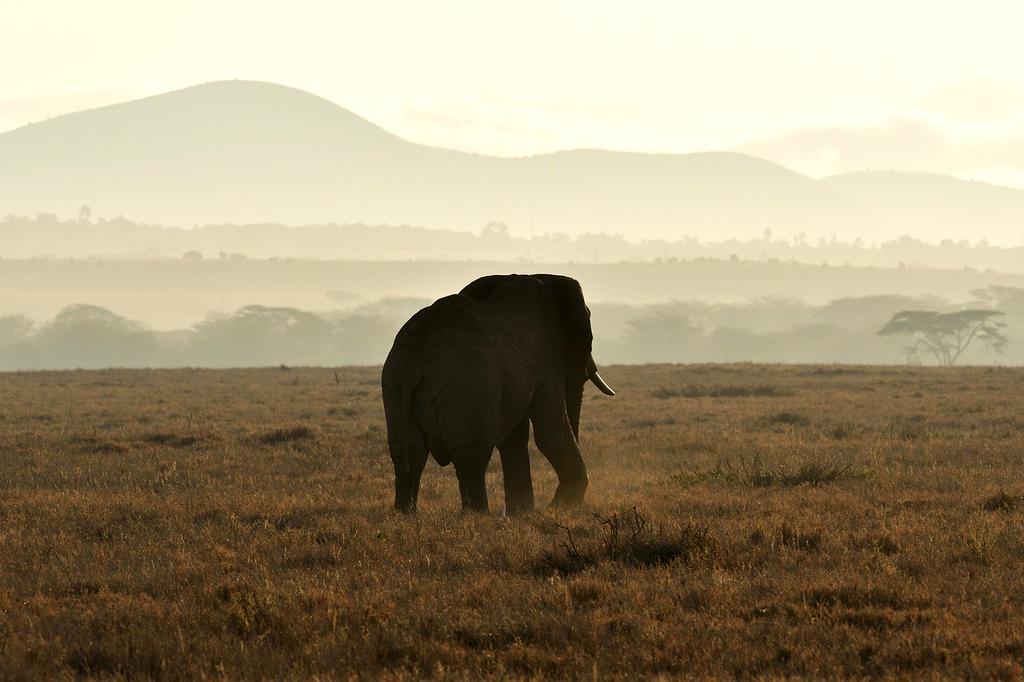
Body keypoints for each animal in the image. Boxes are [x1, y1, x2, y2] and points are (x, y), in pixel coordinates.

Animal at [381, 274, 615, 514]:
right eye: (586, 339)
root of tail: (412, 362)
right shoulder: (547, 357)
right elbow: (548, 430)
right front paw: (561, 506)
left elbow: (514, 437)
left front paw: (521, 514)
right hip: (467, 391)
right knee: (471, 456)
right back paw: (477, 516)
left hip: (393, 387)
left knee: (408, 453)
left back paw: (405, 514)